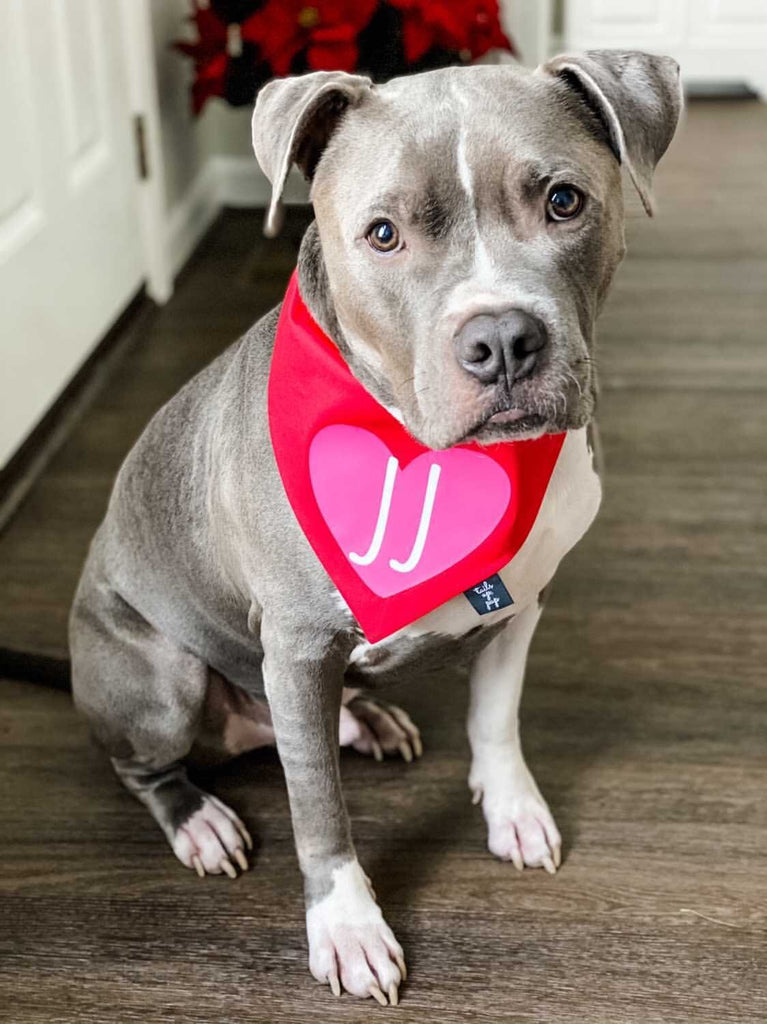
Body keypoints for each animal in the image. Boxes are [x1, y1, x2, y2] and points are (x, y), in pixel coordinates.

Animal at [70, 49, 684, 1007]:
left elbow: (495, 717)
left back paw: (365, 721)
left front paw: (512, 810)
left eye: (563, 201)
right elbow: (318, 809)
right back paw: (199, 820)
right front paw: (348, 928)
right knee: (150, 765)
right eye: (384, 234)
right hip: (164, 679)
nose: (501, 340)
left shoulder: (525, 602)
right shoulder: (294, 646)